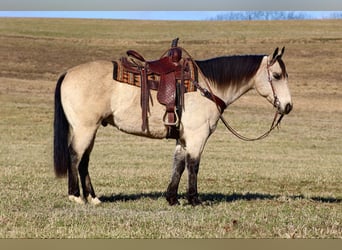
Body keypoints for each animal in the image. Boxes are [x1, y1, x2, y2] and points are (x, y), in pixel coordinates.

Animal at [52, 43, 292, 206]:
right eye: (277, 75)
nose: (288, 106)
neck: (207, 86)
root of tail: (68, 73)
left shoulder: (183, 138)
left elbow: (178, 165)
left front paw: (172, 198)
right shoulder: (197, 136)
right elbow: (193, 165)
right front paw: (194, 200)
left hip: (90, 130)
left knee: (84, 160)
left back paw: (93, 198)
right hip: (85, 128)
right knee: (75, 156)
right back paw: (76, 196)